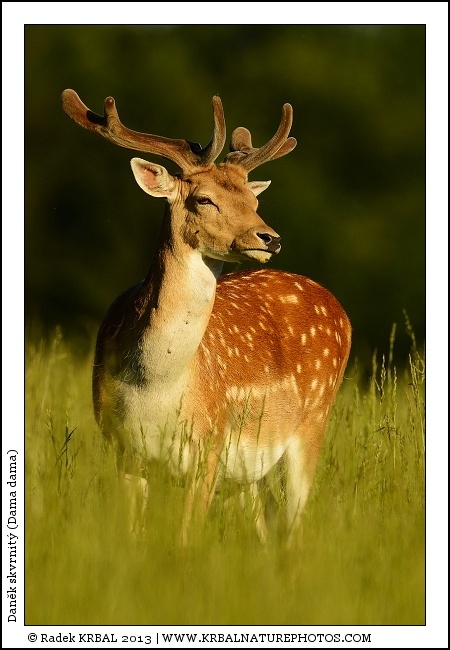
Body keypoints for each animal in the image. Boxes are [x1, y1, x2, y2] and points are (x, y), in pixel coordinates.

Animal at [60, 89, 351, 545]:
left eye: (253, 200)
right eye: (204, 198)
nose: (270, 237)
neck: (155, 391)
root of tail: (340, 309)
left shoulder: (209, 449)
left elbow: (186, 540)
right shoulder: (122, 449)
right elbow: (133, 537)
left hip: (312, 424)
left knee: (294, 529)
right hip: (252, 476)